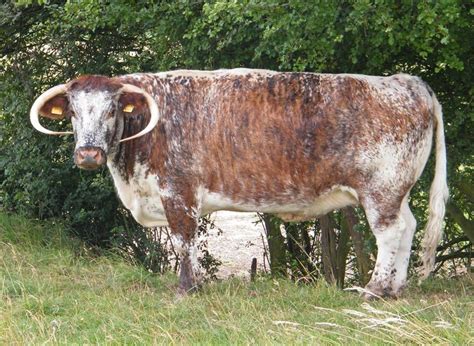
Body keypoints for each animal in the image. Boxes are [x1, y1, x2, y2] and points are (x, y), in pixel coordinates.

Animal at [29, 68, 448, 298]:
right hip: (398, 191)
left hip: (381, 190)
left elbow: (183, 240)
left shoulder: (178, 192)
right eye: (73, 112)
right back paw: (396, 288)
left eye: (112, 110)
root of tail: (407, 83)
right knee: (408, 227)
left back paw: (375, 290)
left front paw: (187, 288)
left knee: (390, 233)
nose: (88, 155)